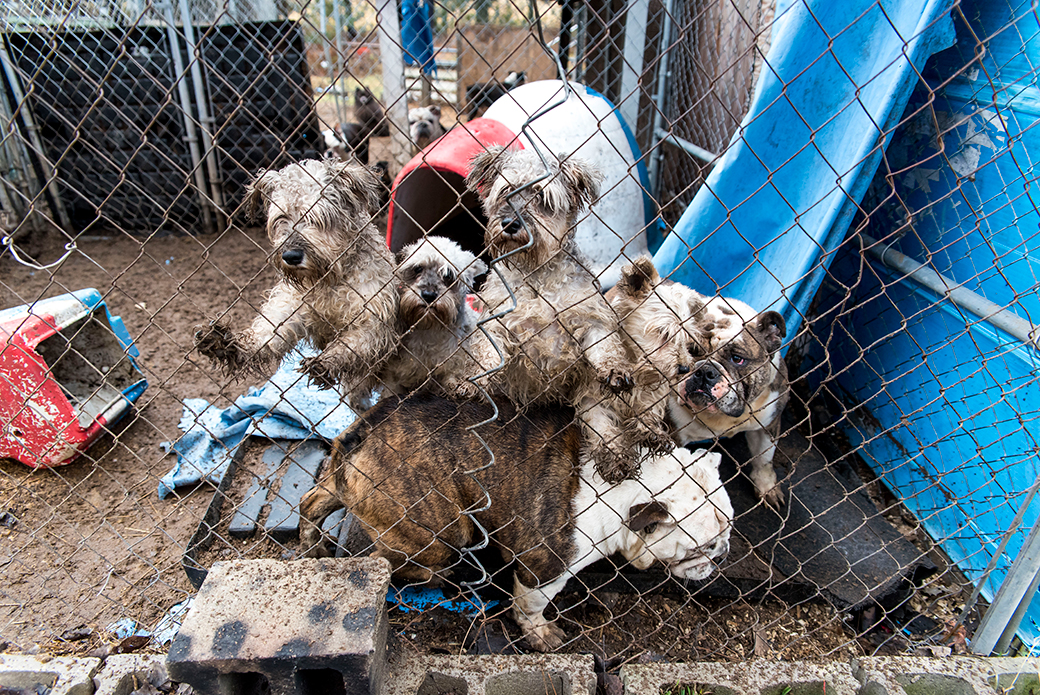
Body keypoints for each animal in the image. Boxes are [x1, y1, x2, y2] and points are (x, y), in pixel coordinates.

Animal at [195, 157, 397, 407]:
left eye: (317, 217)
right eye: (281, 218)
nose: (291, 256)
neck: (328, 279)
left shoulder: (375, 322)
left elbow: (355, 342)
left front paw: (327, 361)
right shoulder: (291, 307)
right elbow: (268, 334)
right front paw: (229, 344)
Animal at [380, 236, 488, 395]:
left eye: (448, 275)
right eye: (418, 268)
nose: (428, 295)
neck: (429, 329)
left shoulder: (451, 370)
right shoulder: (394, 378)